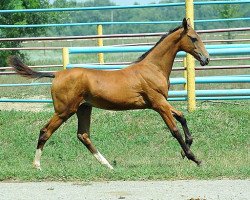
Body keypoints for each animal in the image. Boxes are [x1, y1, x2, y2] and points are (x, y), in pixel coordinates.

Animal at [9, 18, 209, 170]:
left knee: (83, 135)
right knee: (46, 131)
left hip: (83, 108)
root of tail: (57, 74)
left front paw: (186, 150)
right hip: (64, 111)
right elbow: (174, 130)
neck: (153, 68)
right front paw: (194, 158)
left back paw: (108, 165)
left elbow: (182, 117)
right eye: (193, 38)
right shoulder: (158, 104)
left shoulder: (160, 103)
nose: (206, 59)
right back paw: (37, 165)